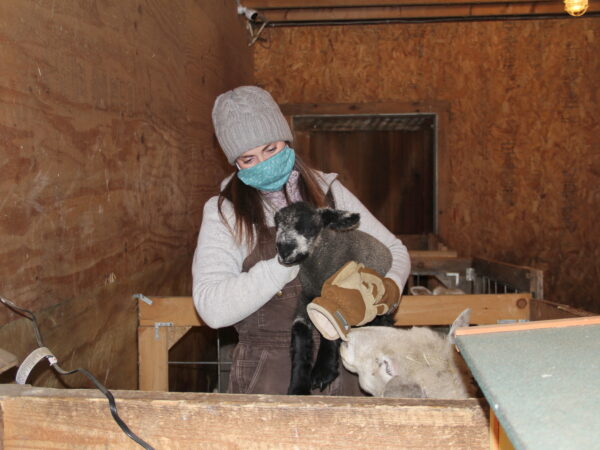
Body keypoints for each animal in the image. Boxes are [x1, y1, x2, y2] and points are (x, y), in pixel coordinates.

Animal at [274, 200, 396, 394]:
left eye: (309, 228)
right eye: (277, 225)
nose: (284, 251)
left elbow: (331, 329)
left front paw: (322, 373)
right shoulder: (305, 299)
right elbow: (300, 333)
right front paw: (298, 387)